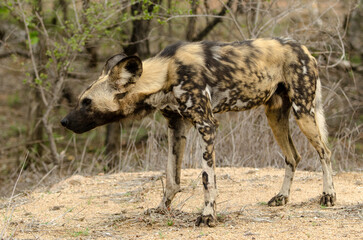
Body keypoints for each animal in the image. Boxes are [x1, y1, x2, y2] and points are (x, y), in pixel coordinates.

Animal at [61, 38, 336, 227]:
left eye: (87, 102)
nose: (63, 121)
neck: (166, 74)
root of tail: (304, 49)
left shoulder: (206, 125)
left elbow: (206, 179)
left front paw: (207, 215)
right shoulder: (176, 127)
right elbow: (171, 179)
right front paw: (161, 209)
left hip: (303, 112)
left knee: (325, 152)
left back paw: (328, 195)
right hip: (275, 116)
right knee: (293, 156)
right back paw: (282, 197)